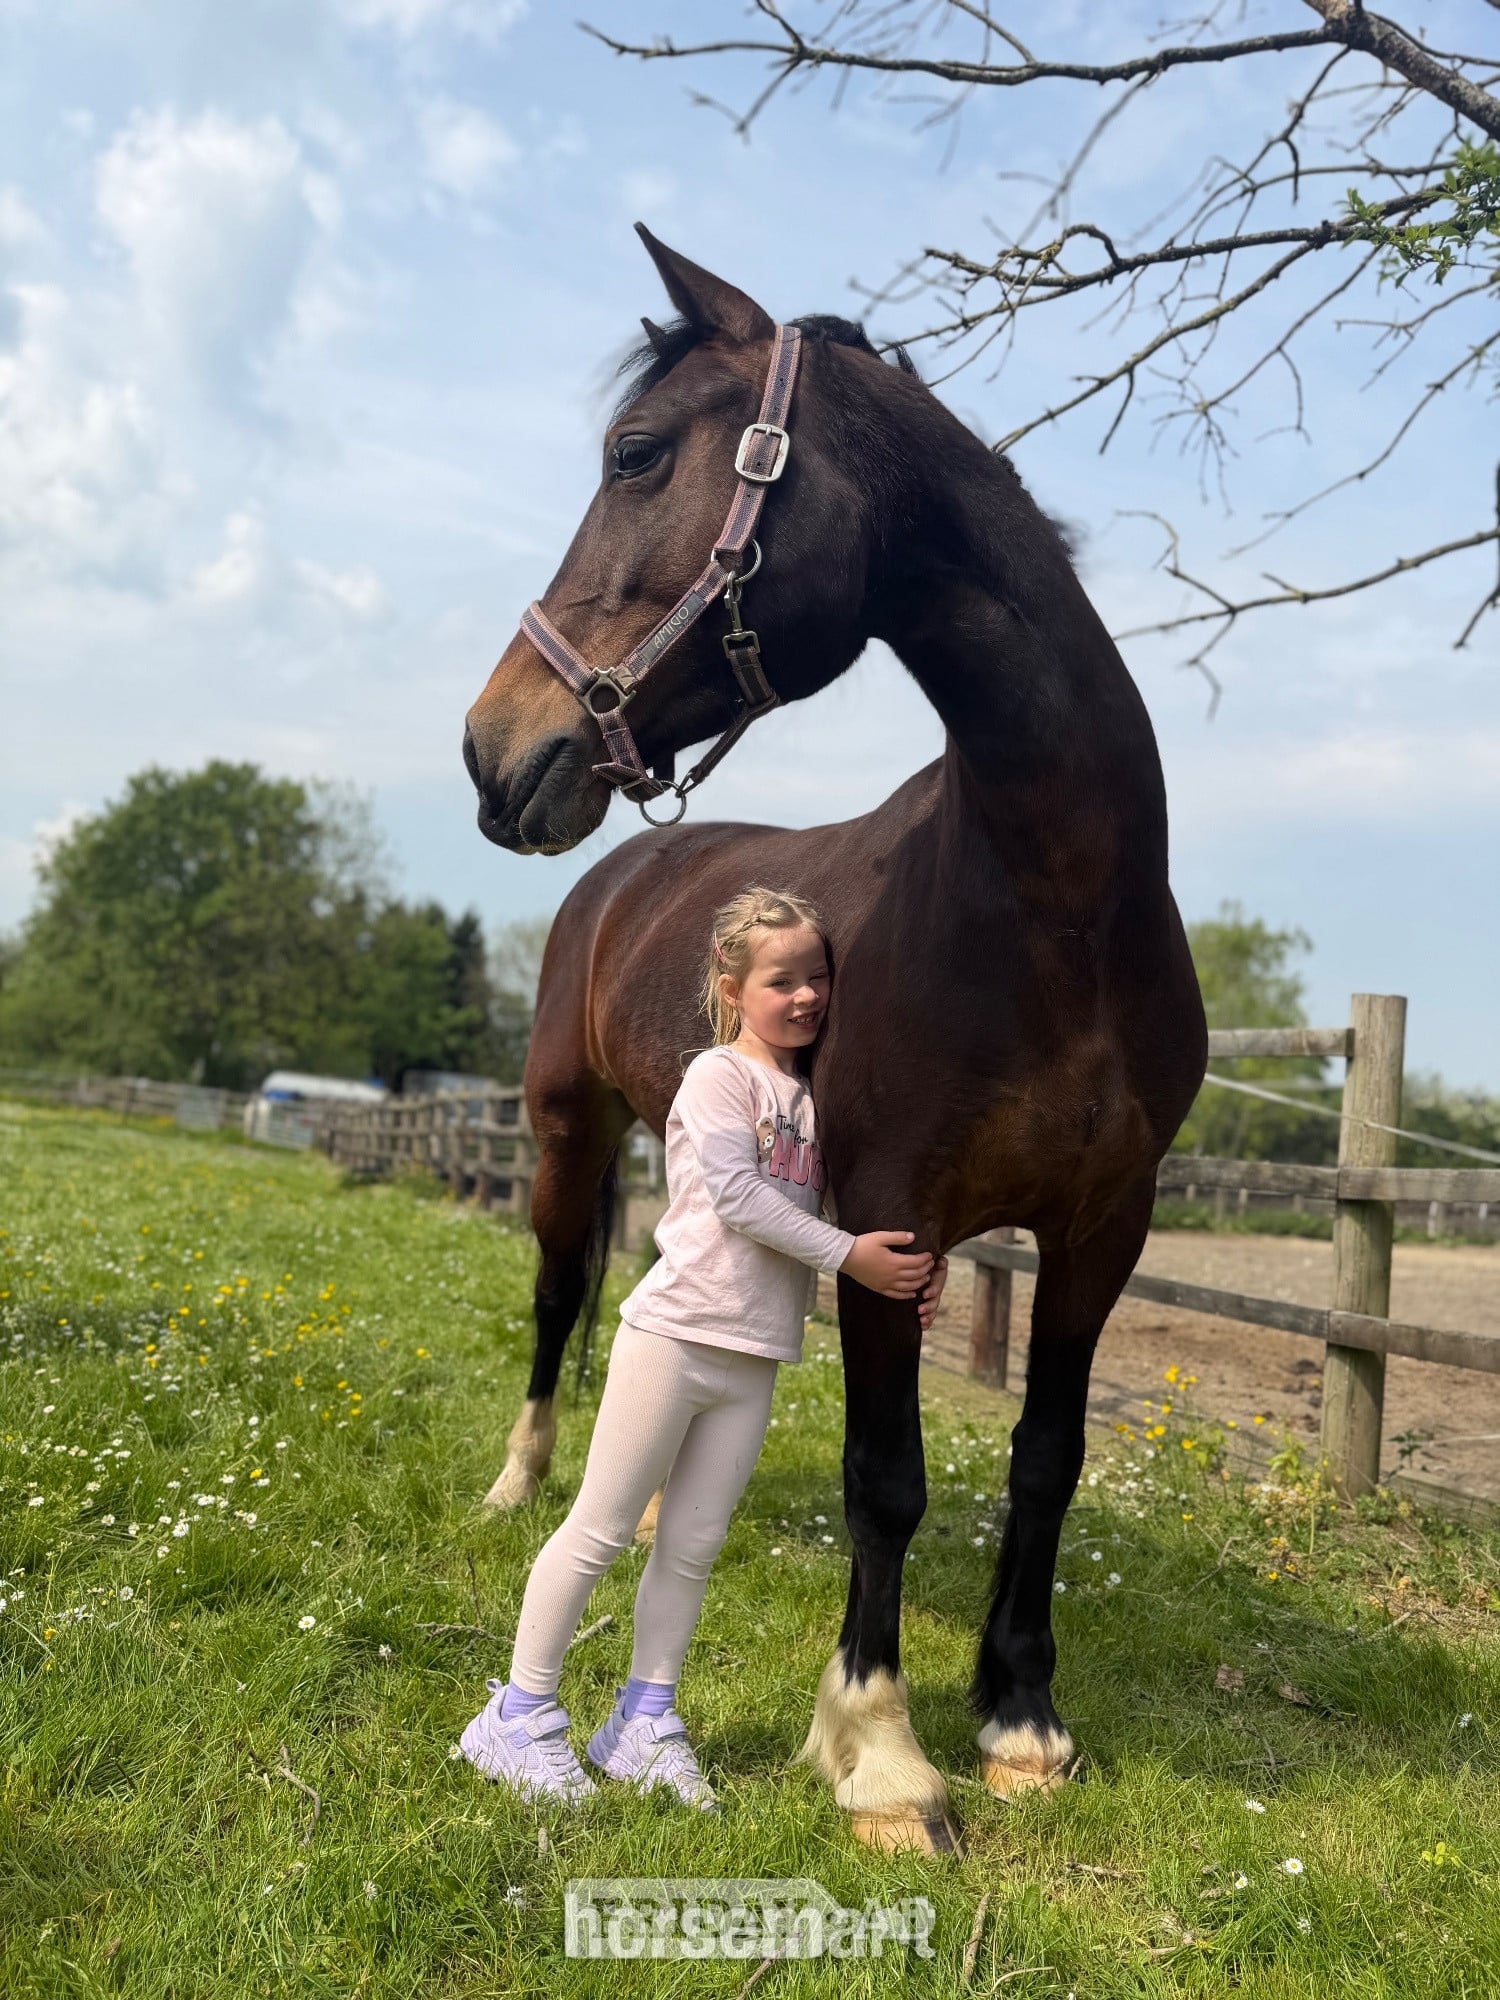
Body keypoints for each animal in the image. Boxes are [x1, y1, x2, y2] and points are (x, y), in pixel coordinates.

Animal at [461, 227, 1207, 1854]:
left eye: (635, 452)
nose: (493, 748)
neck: (1055, 904)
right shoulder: (892, 1223)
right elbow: (887, 1479)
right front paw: (880, 1749)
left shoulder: (1103, 1228)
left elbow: (1046, 1460)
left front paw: (1021, 1716)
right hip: (565, 1136)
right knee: (554, 1302)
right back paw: (516, 1484)